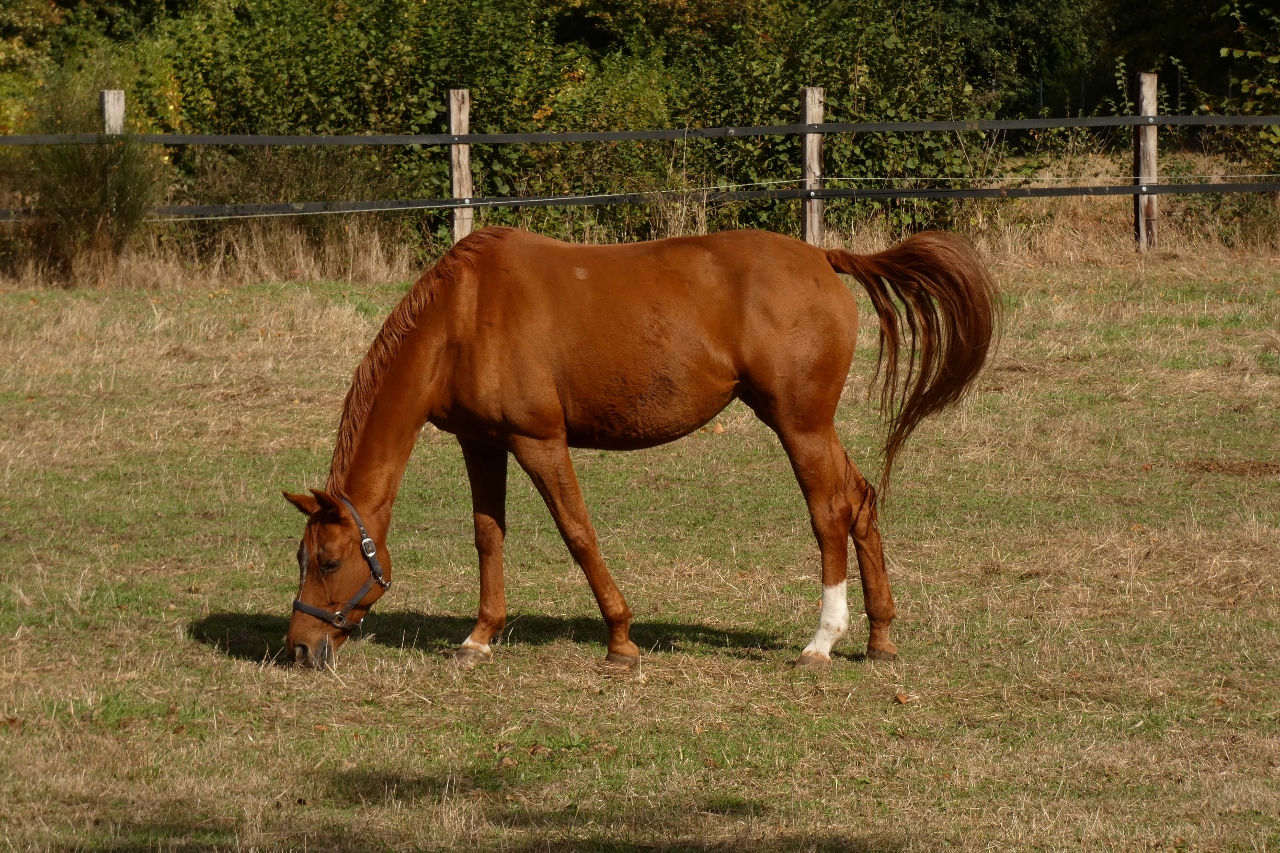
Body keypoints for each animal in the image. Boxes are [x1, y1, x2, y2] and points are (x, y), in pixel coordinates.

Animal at [282, 225, 998, 671]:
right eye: (302, 557)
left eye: (329, 560)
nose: (299, 646)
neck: (463, 314)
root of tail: (823, 258)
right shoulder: (481, 444)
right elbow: (489, 536)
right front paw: (479, 637)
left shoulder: (538, 442)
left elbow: (577, 533)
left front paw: (621, 639)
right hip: (809, 425)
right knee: (862, 500)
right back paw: (880, 637)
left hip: (800, 426)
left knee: (830, 513)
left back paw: (822, 641)